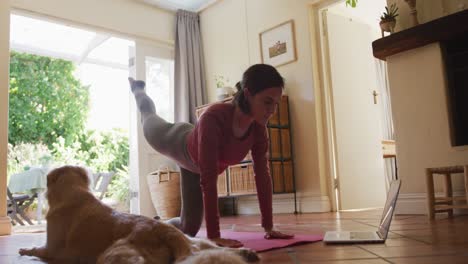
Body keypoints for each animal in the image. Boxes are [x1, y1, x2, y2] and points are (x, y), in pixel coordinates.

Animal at [19, 166, 260, 262]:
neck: (74, 192)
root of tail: (164, 231)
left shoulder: (51, 248)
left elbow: (37, 249)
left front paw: (24, 249)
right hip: (196, 241)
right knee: (214, 247)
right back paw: (246, 252)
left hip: (113, 253)